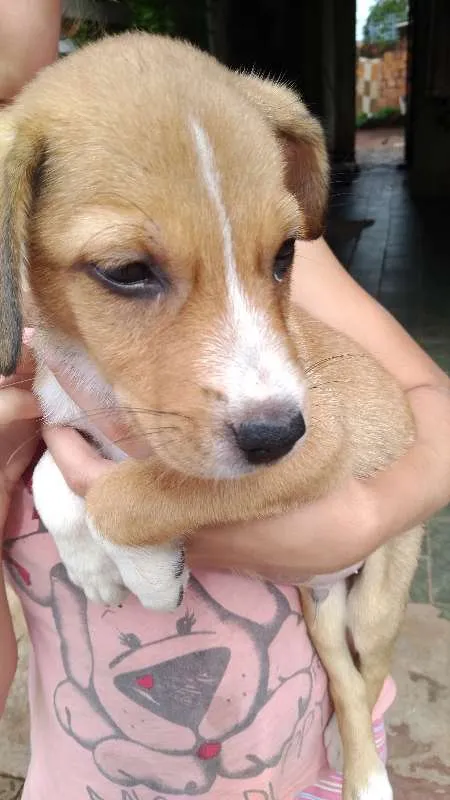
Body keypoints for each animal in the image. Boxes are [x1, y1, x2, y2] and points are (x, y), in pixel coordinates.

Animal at [0, 31, 422, 800]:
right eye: (125, 272)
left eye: (285, 255)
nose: (277, 434)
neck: (109, 391)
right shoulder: (67, 412)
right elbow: (53, 471)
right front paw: (90, 565)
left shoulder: (317, 451)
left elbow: (125, 496)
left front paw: (141, 572)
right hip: (320, 607)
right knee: (343, 681)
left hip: (374, 602)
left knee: (366, 679)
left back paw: (369, 777)